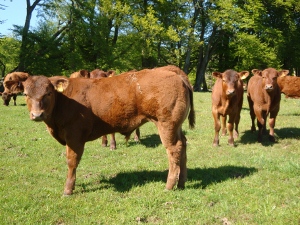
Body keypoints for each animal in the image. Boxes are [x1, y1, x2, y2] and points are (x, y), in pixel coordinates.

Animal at [7, 65, 196, 195]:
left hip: (166, 124)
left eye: (48, 93)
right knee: (183, 145)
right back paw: (182, 183)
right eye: (26, 94)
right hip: (176, 126)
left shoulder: (74, 137)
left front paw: (68, 189)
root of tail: (170, 70)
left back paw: (169, 185)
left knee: (174, 150)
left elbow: (71, 161)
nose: (37, 114)